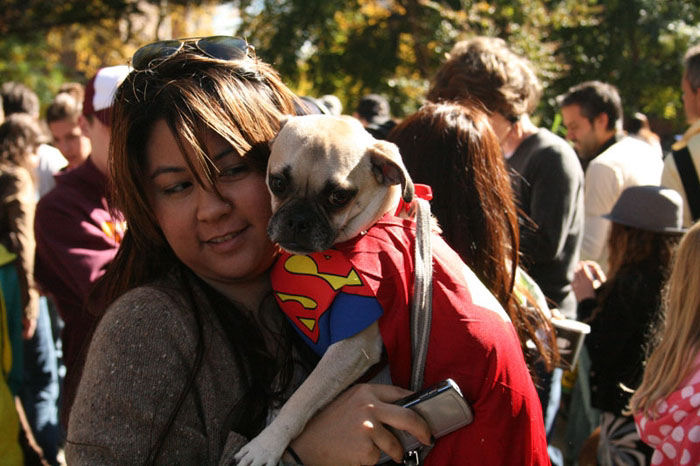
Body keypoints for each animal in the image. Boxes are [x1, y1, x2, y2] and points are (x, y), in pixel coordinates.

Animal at [235, 114, 422, 466]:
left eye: (339, 197)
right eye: (277, 183)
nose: (297, 221)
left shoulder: (351, 348)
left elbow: (302, 397)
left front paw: (267, 443)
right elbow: (291, 382)